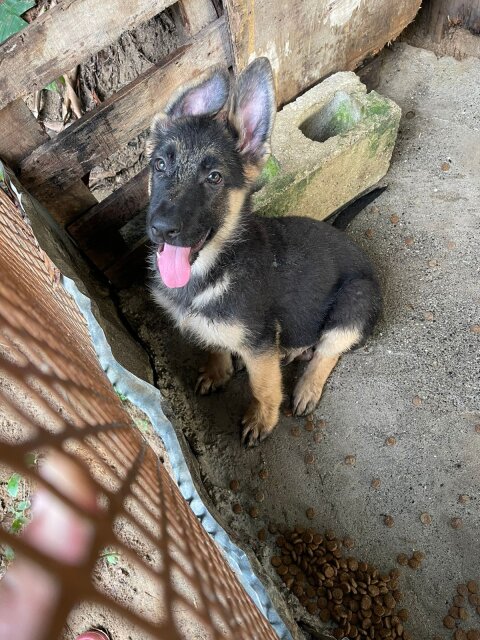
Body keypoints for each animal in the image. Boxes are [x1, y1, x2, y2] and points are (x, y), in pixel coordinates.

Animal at [148, 57, 380, 448]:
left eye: (214, 177)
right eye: (159, 166)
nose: (161, 228)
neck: (216, 267)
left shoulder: (258, 343)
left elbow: (265, 386)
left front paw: (263, 419)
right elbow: (213, 342)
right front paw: (219, 369)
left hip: (355, 301)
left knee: (328, 349)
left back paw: (306, 387)